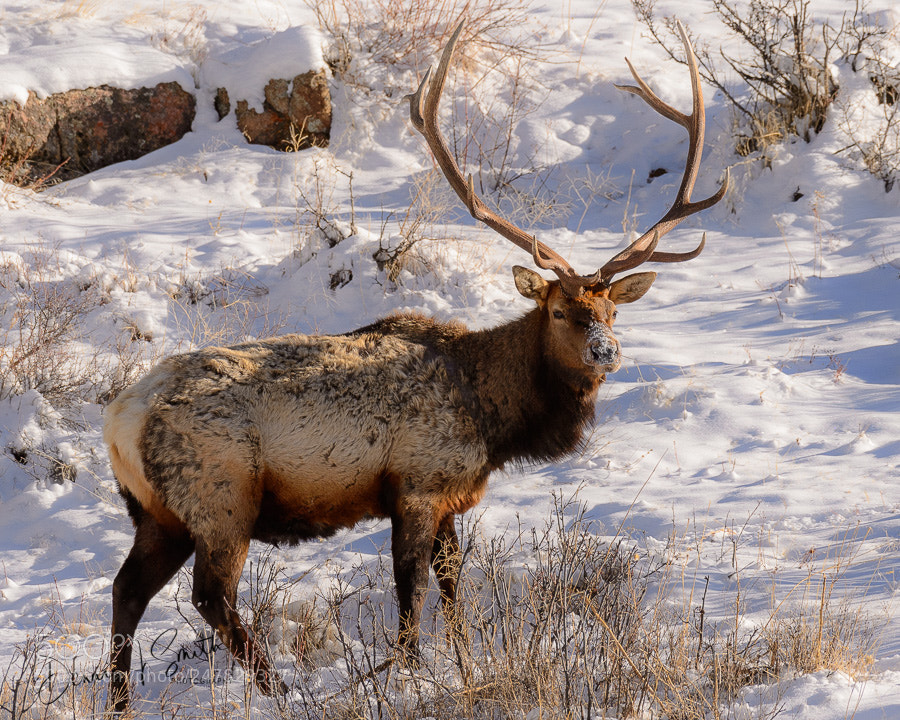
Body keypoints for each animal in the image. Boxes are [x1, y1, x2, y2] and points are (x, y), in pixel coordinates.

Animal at [105, 20, 726, 712]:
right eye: (562, 309)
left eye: (612, 311)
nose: (606, 351)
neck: (494, 418)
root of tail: (118, 421)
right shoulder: (418, 482)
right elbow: (414, 594)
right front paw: (406, 673)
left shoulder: (454, 495)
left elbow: (454, 589)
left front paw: (465, 664)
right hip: (219, 496)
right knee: (211, 596)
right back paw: (279, 689)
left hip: (159, 513)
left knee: (126, 590)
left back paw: (120, 700)